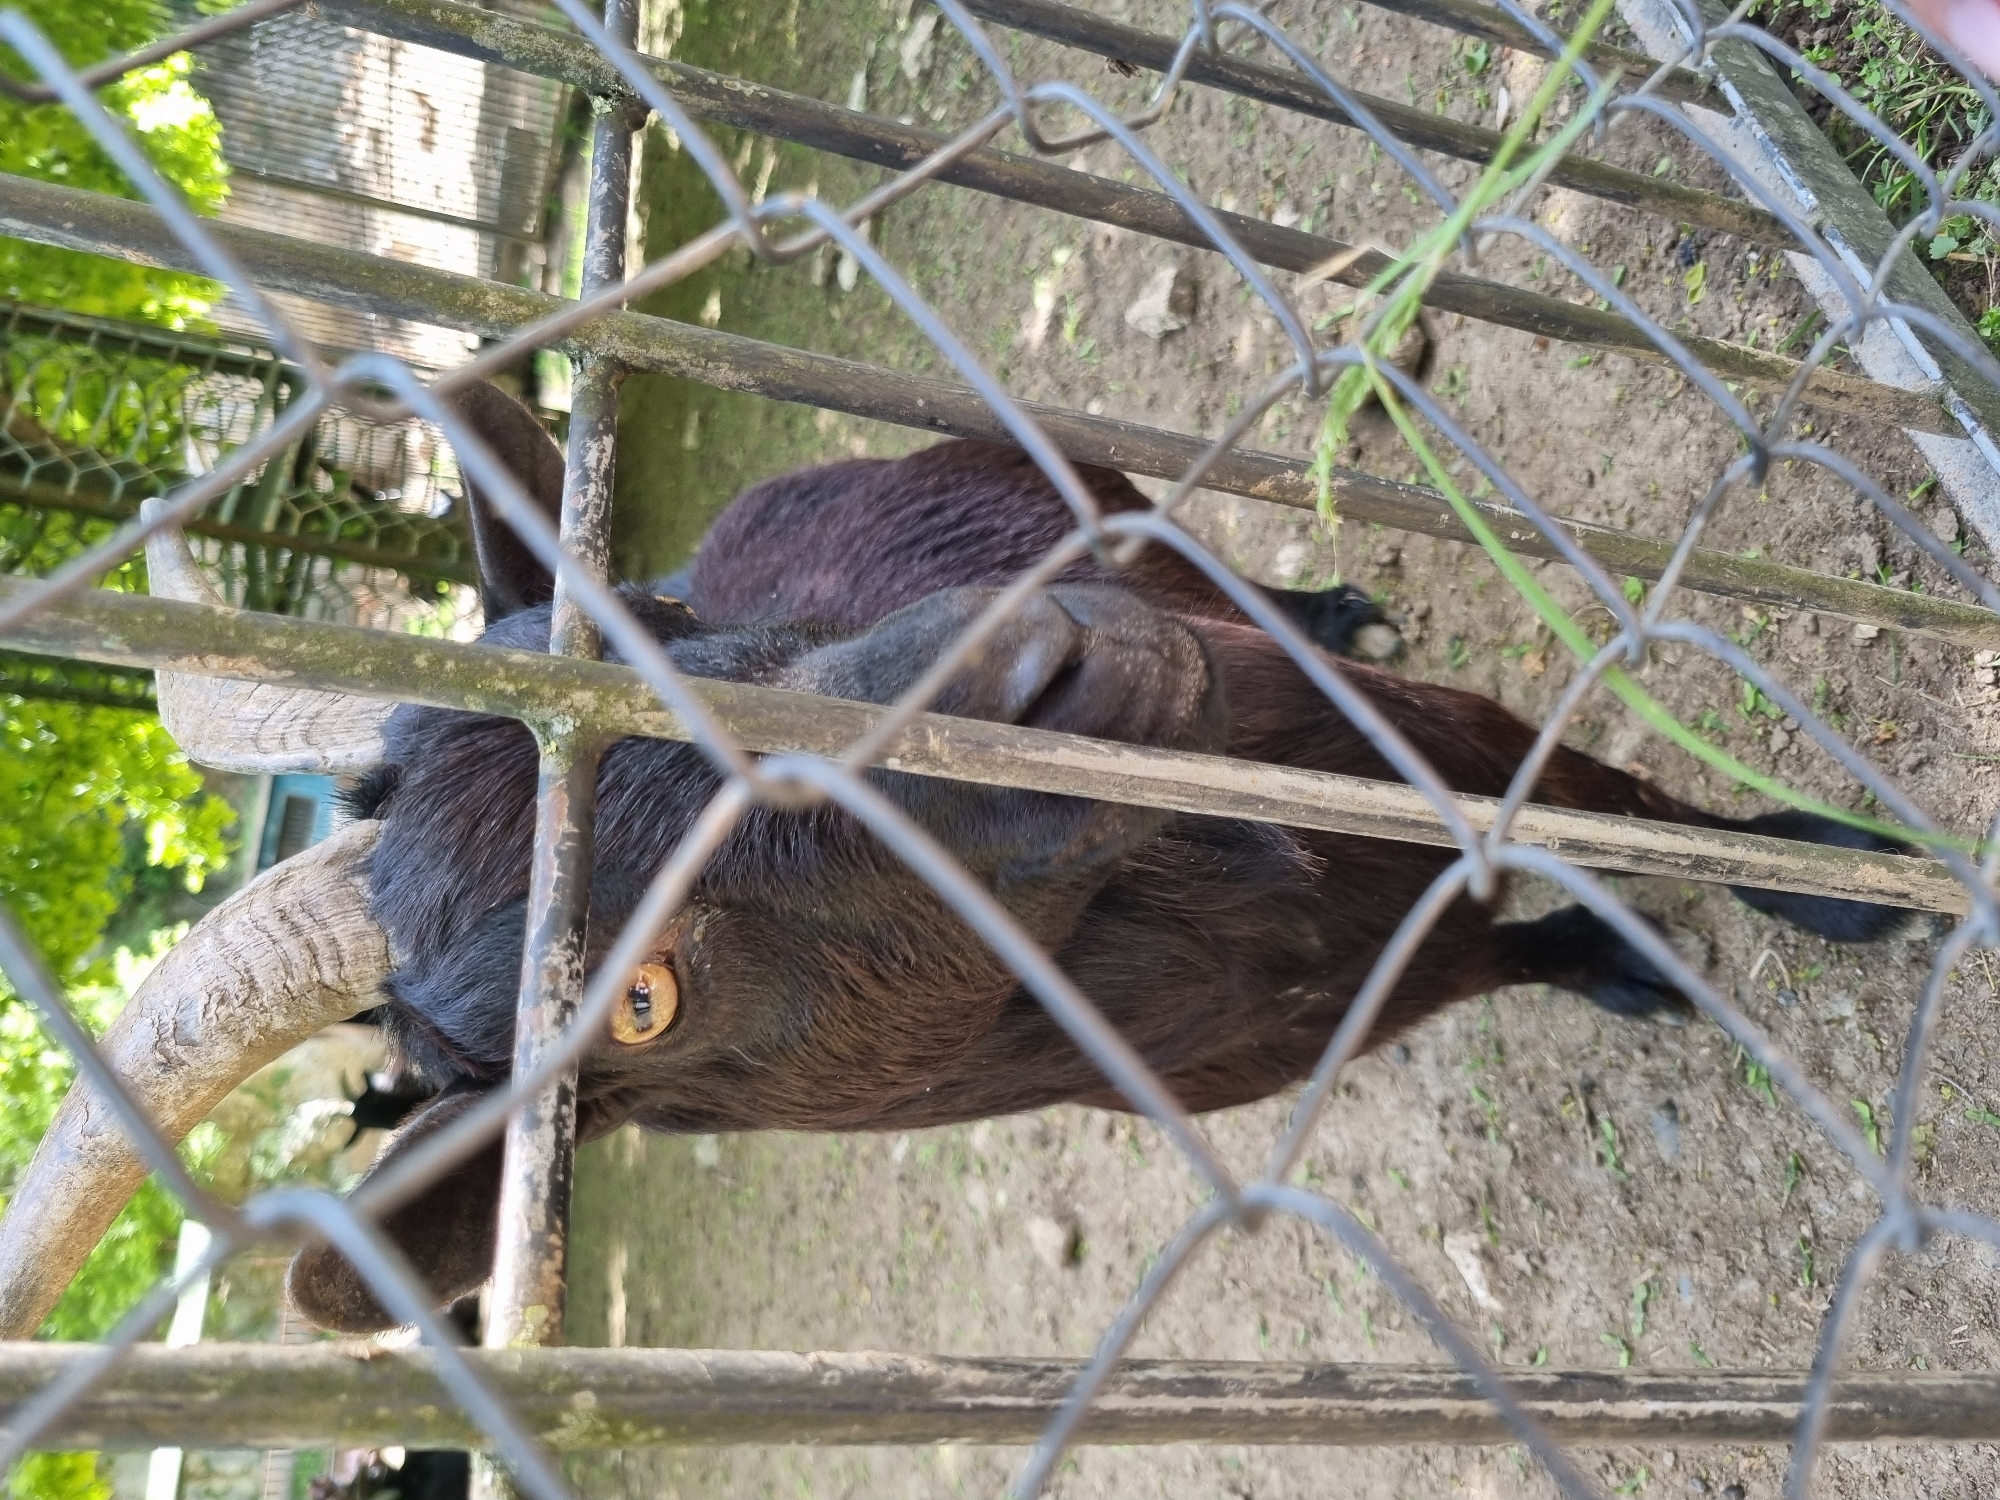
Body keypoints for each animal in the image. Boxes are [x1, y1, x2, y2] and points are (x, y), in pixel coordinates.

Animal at [0, 385, 1910, 1336]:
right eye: (635, 1002)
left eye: (665, 624)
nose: (1033, 665)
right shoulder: (1314, 1021)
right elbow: (1502, 935)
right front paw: (1619, 966)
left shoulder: (1392, 734)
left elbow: (1596, 786)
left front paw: (1835, 877)